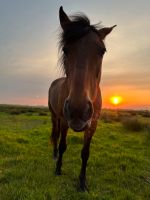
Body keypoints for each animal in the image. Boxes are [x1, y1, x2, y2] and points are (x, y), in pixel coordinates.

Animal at [48, 6, 116, 191]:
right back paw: (55, 155)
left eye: (102, 51)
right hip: (55, 116)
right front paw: (58, 169)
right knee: (55, 134)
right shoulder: (65, 120)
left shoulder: (92, 124)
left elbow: (85, 153)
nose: (78, 110)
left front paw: (82, 182)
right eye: (66, 50)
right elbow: (63, 145)